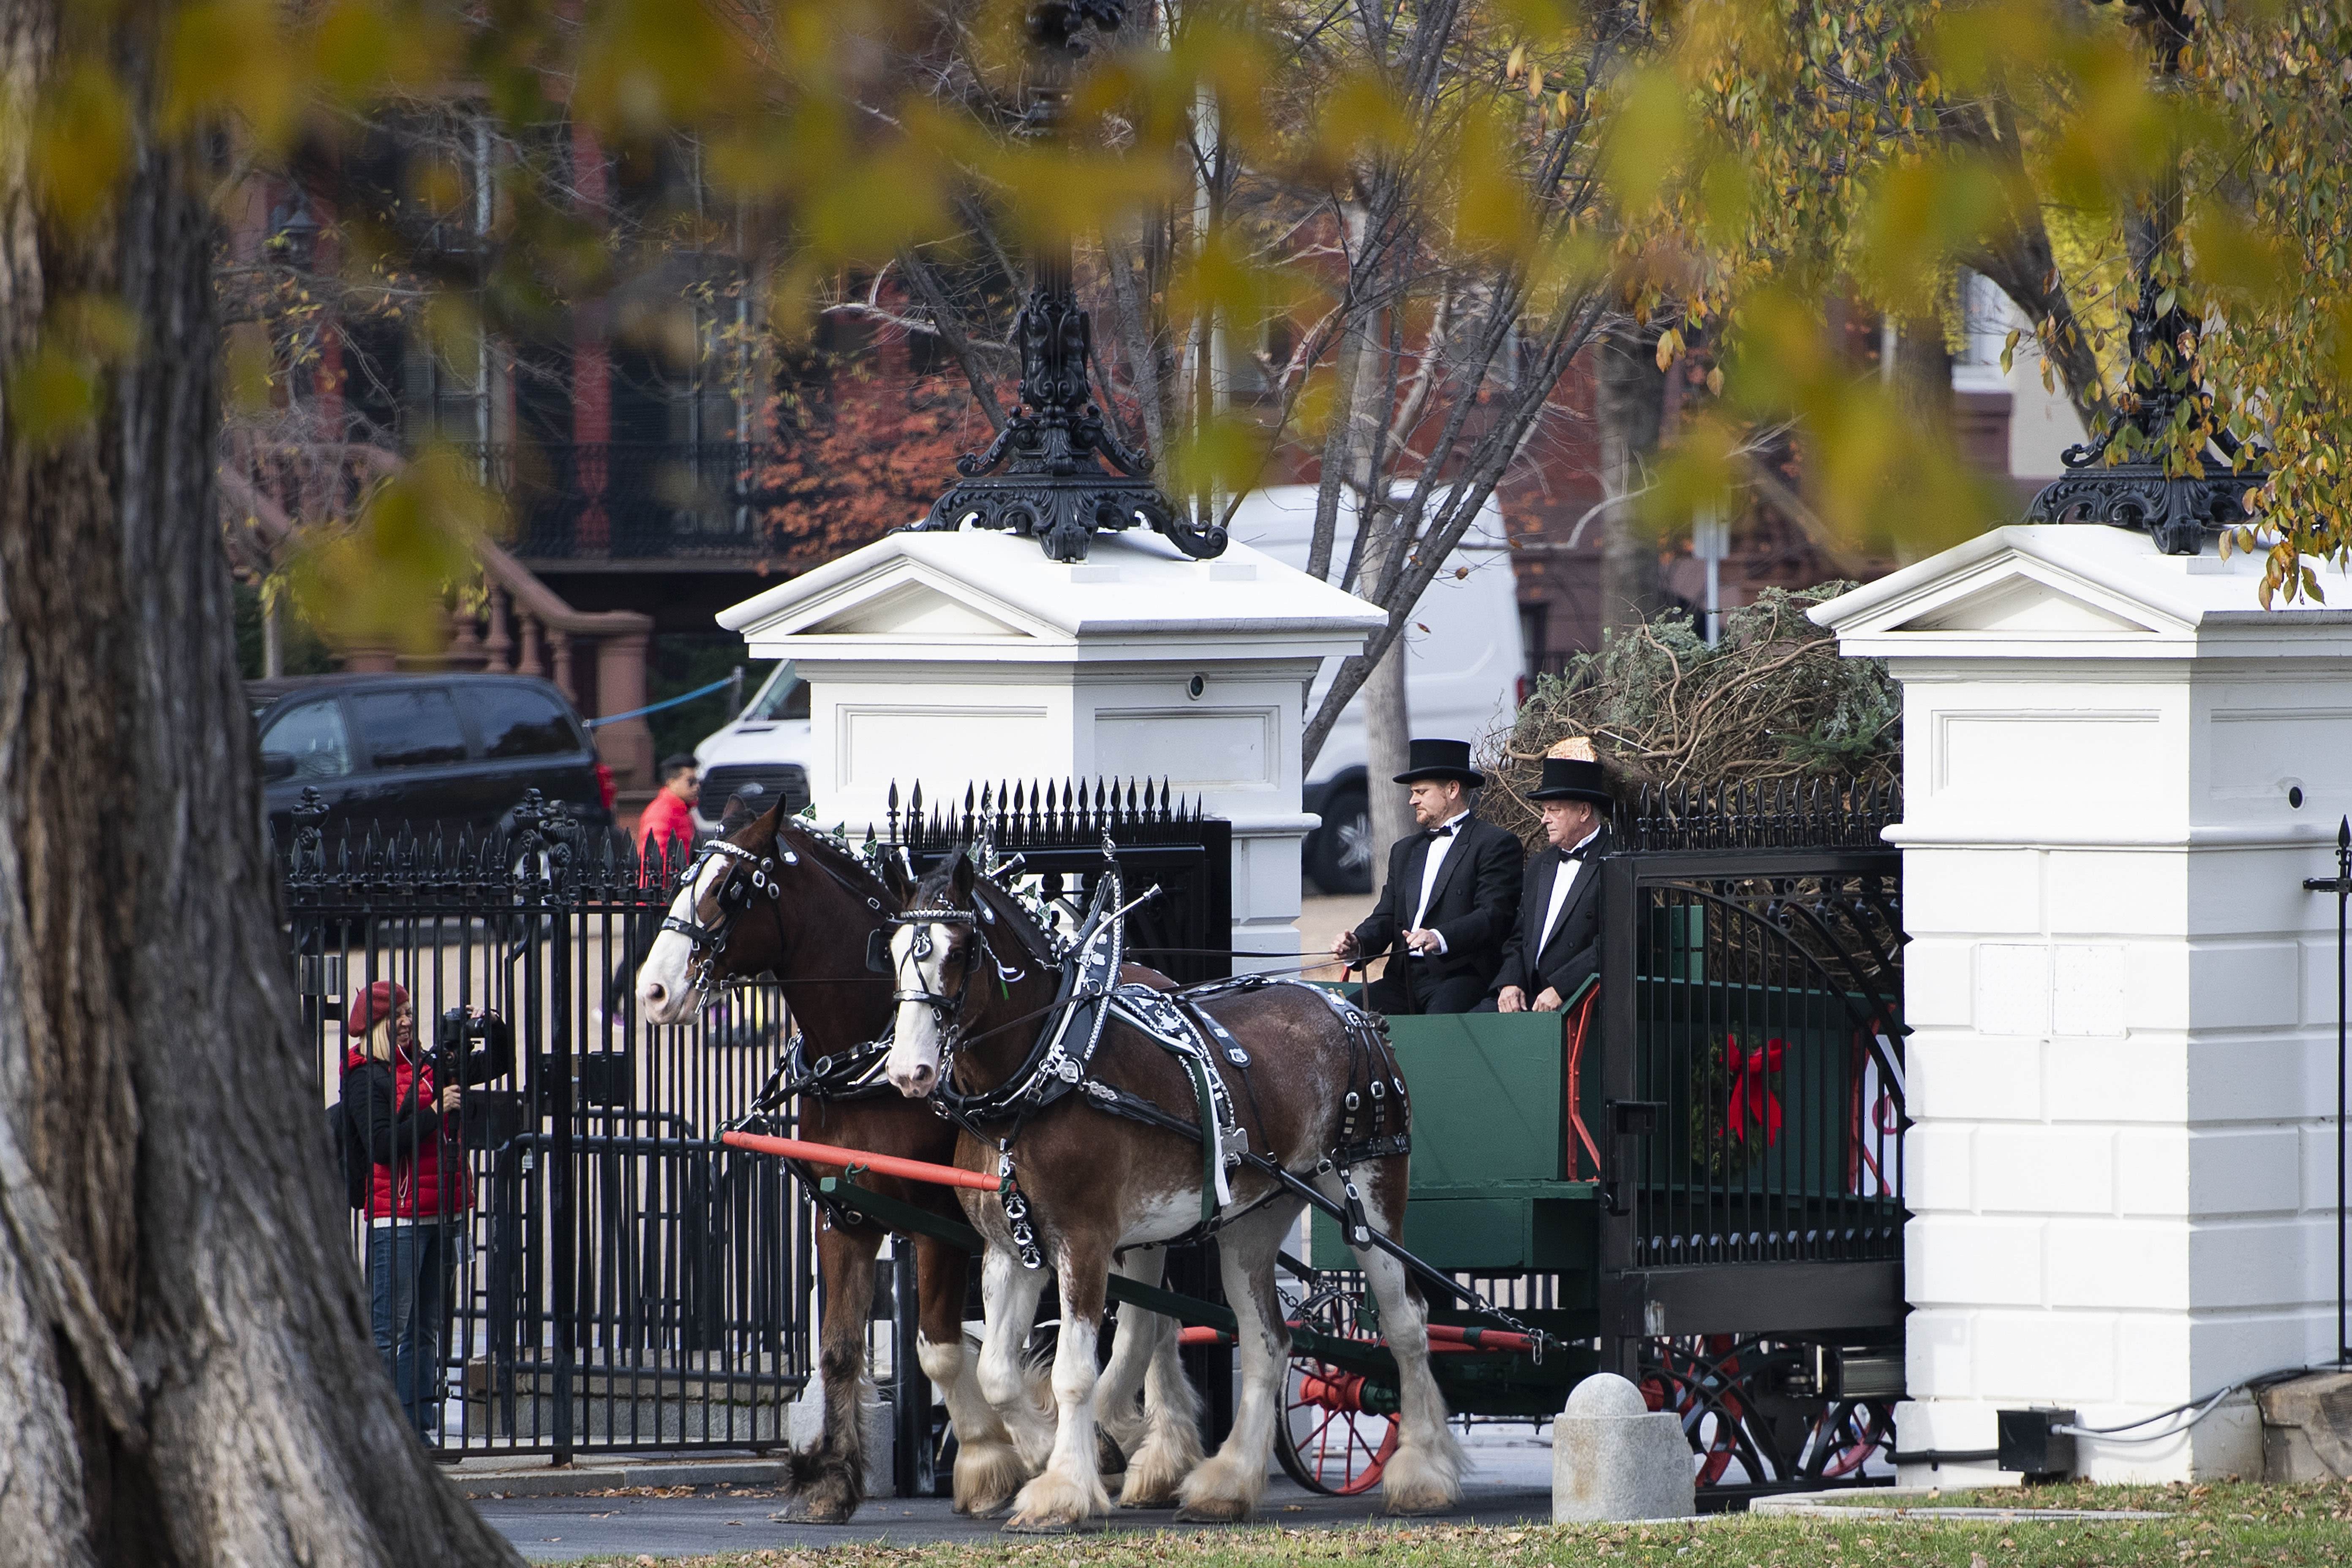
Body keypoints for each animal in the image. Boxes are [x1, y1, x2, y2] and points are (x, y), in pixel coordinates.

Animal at [635, 818, 1204, 1523]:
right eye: (685, 876)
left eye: (731, 887)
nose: (653, 990)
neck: (869, 1063)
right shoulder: (844, 1217)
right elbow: (839, 1350)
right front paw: (828, 1481)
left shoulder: (940, 1223)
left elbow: (939, 1350)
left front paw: (994, 1459)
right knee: (1160, 1318)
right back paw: (1154, 1448)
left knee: (1150, 1317)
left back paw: (1143, 1445)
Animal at [884, 851, 1467, 1523]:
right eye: (893, 950)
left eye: (958, 951)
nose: (907, 1071)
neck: (1049, 1066)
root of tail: (1352, 1010)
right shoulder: (1013, 1247)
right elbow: (1000, 1373)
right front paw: (1052, 1451)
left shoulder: (1085, 1241)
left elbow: (1074, 1372)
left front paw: (1066, 1483)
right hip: (1251, 1224)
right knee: (1269, 1341)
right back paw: (1227, 1482)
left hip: (1369, 1197)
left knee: (1406, 1325)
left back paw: (1422, 1472)